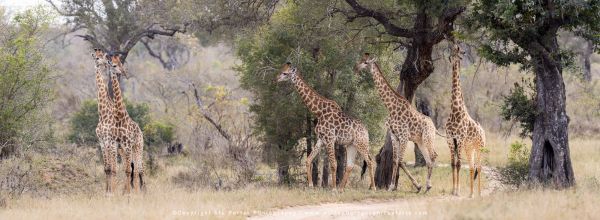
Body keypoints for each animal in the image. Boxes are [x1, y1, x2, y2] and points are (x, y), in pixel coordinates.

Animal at [107, 53, 146, 192]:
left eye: (121, 64)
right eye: (114, 65)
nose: (124, 73)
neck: (120, 117)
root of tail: (141, 132)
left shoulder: (127, 145)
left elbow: (129, 170)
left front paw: (129, 194)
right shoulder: (118, 146)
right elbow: (123, 170)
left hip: (138, 146)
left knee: (140, 168)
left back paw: (140, 191)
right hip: (129, 149)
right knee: (136, 169)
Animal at [278, 62, 376, 191]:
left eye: (285, 73)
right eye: (281, 70)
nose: (277, 78)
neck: (319, 111)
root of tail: (366, 131)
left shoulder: (330, 138)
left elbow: (333, 164)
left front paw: (333, 189)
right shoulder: (321, 139)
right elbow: (308, 160)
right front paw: (311, 185)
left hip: (362, 144)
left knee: (370, 161)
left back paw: (372, 188)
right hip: (351, 145)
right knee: (350, 165)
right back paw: (341, 188)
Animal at [354, 53, 438, 192]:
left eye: (366, 62)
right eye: (361, 60)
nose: (356, 68)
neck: (391, 107)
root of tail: (433, 126)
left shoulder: (404, 135)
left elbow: (400, 160)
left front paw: (417, 186)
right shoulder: (394, 136)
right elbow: (395, 160)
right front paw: (391, 186)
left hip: (428, 138)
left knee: (433, 155)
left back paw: (429, 185)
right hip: (420, 141)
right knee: (428, 160)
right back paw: (427, 186)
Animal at [442, 42, 486, 198]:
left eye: (458, 53)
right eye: (450, 53)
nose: (453, 61)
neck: (455, 111)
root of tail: (483, 131)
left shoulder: (459, 139)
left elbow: (459, 164)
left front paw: (458, 191)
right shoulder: (450, 139)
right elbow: (453, 164)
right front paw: (453, 189)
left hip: (480, 148)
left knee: (479, 166)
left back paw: (479, 193)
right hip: (469, 148)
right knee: (473, 167)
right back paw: (473, 193)